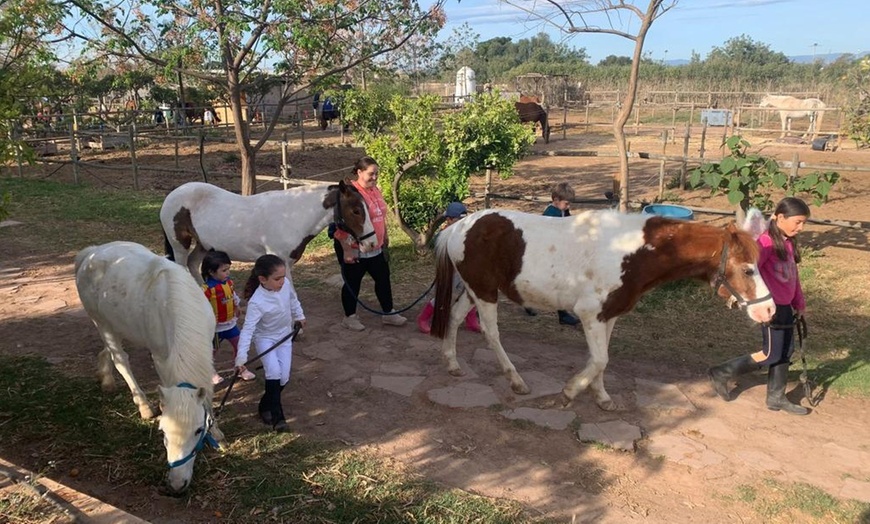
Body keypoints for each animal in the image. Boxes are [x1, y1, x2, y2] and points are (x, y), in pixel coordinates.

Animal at [75, 242, 225, 496]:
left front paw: (216, 432)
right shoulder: (161, 358)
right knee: (121, 359)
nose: (176, 485)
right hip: (102, 322)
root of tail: (91, 253)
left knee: (109, 351)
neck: (177, 305)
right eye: (163, 432)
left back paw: (105, 377)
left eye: (198, 430)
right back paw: (143, 405)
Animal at [430, 208, 776, 410]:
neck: (631, 252)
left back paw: (452, 363)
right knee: (491, 333)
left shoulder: (609, 316)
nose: (769, 311)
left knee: (455, 317)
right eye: (748, 269)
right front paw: (568, 394)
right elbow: (599, 360)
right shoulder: (590, 314)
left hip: (475, 290)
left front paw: (601, 396)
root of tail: (458, 226)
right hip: (485, 292)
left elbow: (601, 361)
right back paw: (516, 381)